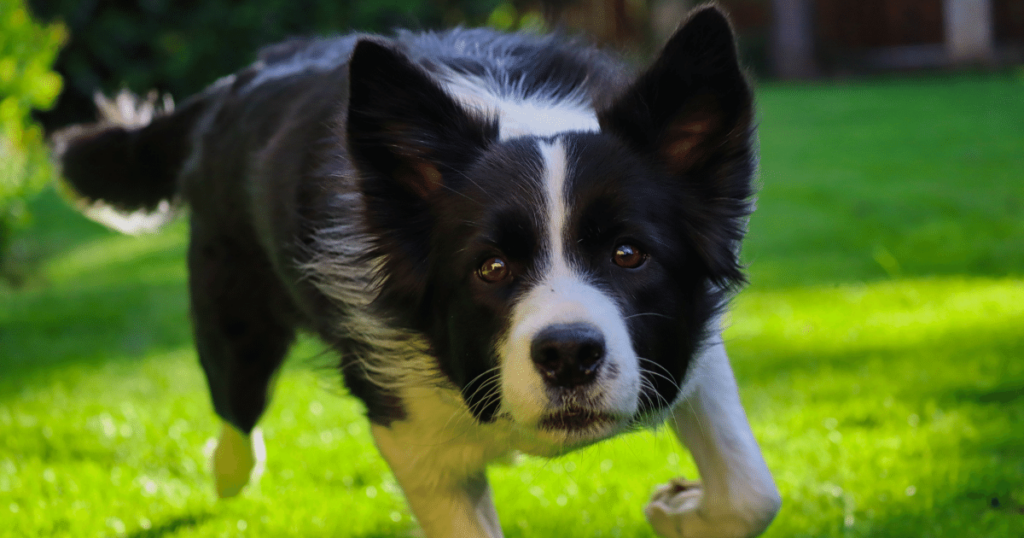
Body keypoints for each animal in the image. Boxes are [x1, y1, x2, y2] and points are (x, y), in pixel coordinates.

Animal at [54, 5, 774, 536]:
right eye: (490, 267)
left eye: (629, 254)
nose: (569, 356)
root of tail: (238, 82)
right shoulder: (410, 431)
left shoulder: (684, 342)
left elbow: (752, 492)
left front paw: (680, 511)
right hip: (234, 319)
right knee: (236, 410)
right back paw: (229, 472)